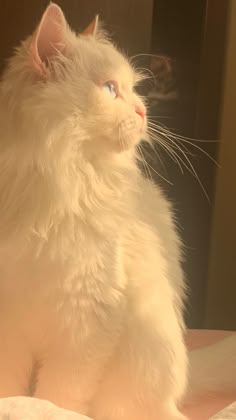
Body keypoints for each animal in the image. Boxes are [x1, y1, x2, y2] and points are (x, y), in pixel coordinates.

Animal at [0, 3, 235, 420]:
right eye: (110, 89)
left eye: (134, 89)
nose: (143, 110)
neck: (61, 183)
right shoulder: (9, 327)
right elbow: (8, 388)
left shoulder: (85, 326)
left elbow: (57, 399)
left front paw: (40, 409)